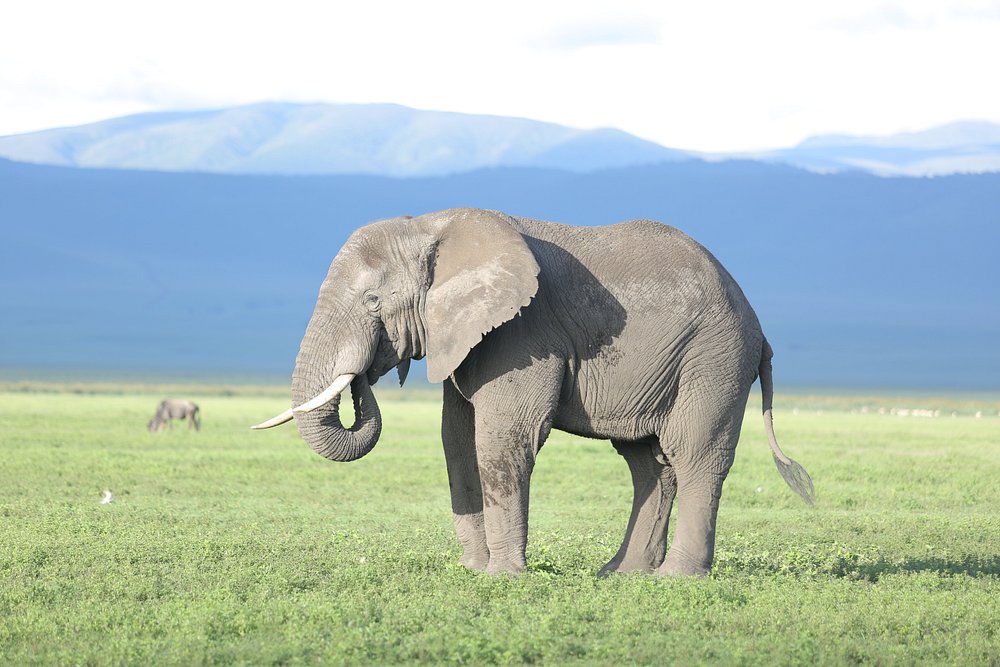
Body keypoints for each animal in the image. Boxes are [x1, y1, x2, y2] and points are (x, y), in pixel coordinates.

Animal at [252, 208, 813, 576]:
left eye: (373, 302)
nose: (365, 375)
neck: (432, 226)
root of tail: (759, 326)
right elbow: (457, 442)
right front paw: (474, 572)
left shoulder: (521, 333)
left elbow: (504, 440)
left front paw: (503, 577)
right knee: (648, 463)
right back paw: (620, 574)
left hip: (714, 357)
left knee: (695, 453)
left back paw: (676, 578)